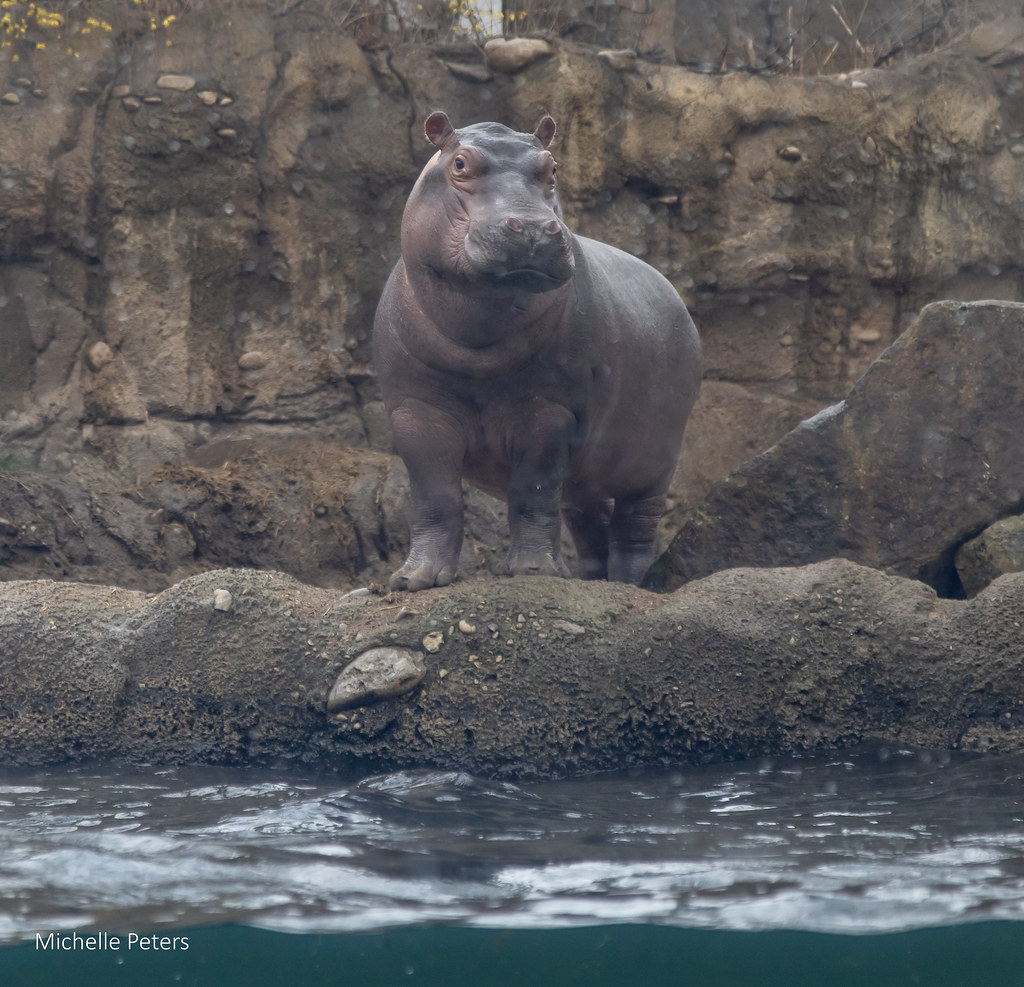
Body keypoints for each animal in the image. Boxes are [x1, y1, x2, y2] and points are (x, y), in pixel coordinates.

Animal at [373, 111, 701, 591]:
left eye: (553, 167)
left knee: (635, 528)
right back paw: (590, 580)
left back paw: (627, 584)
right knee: (588, 521)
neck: (476, 342)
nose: (531, 227)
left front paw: (534, 572)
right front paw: (415, 579)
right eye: (459, 163)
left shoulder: (549, 409)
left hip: (657, 460)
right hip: (591, 472)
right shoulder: (414, 410)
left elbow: (533, 491)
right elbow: (435, 497)